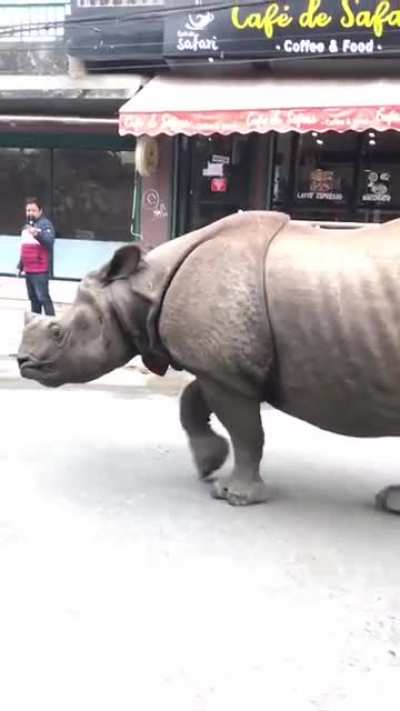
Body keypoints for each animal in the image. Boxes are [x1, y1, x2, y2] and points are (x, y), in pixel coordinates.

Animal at [17, 211, 400, 513]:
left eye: (58, 332)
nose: (22, 362)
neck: (138, 290)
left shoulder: (224, 372)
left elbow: (247, 433)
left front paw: (234, 496)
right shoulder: (219, 366)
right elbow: (192, 402)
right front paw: (207, 464)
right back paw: (390, 503)